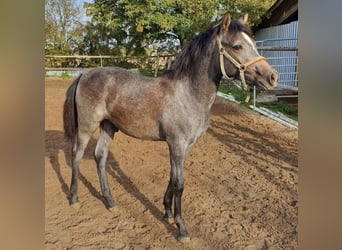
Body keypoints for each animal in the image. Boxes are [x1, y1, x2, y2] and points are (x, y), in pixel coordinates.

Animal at [63, 13, 278, 240]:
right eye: (237, 46)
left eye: (253, 43)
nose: (272, 77)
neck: (189, 93)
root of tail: (84, 75)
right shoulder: (177, 144)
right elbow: (180, 184)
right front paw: (181, 227)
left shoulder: (186, 146)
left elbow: (173, 178)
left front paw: (167, 211)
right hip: (86, 126)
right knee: (76, 156)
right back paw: (74, 198)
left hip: (108, 127)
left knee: (100, 156)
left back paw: (110, 201)